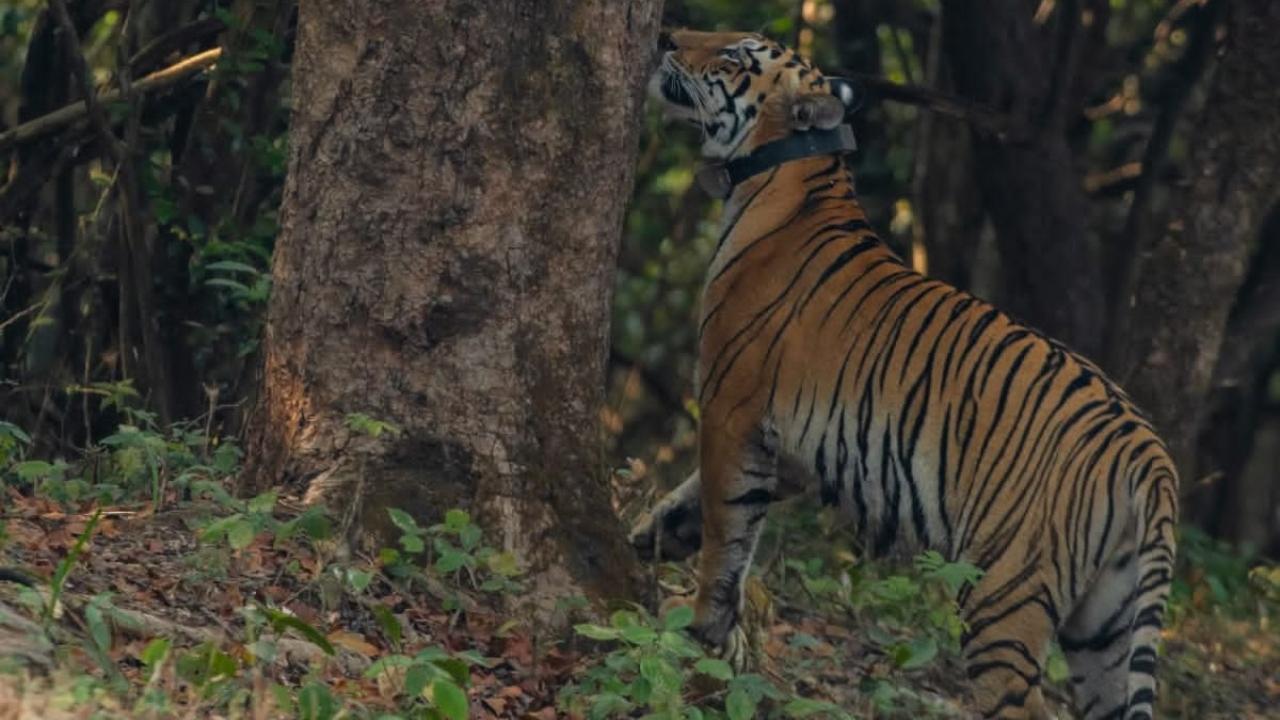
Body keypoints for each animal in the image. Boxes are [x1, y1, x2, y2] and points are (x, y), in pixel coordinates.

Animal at [629, 29, 1179, 720]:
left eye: (733, 55)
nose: (666, 36)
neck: (787, 173)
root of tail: (1148, 453)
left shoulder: (734, 408)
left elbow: (727, 528)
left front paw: (701, 628)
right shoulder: (794, 452)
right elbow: (701, 501)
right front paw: (648, 538)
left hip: (1002, 593)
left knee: (1020, 701)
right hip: (1106, 622)